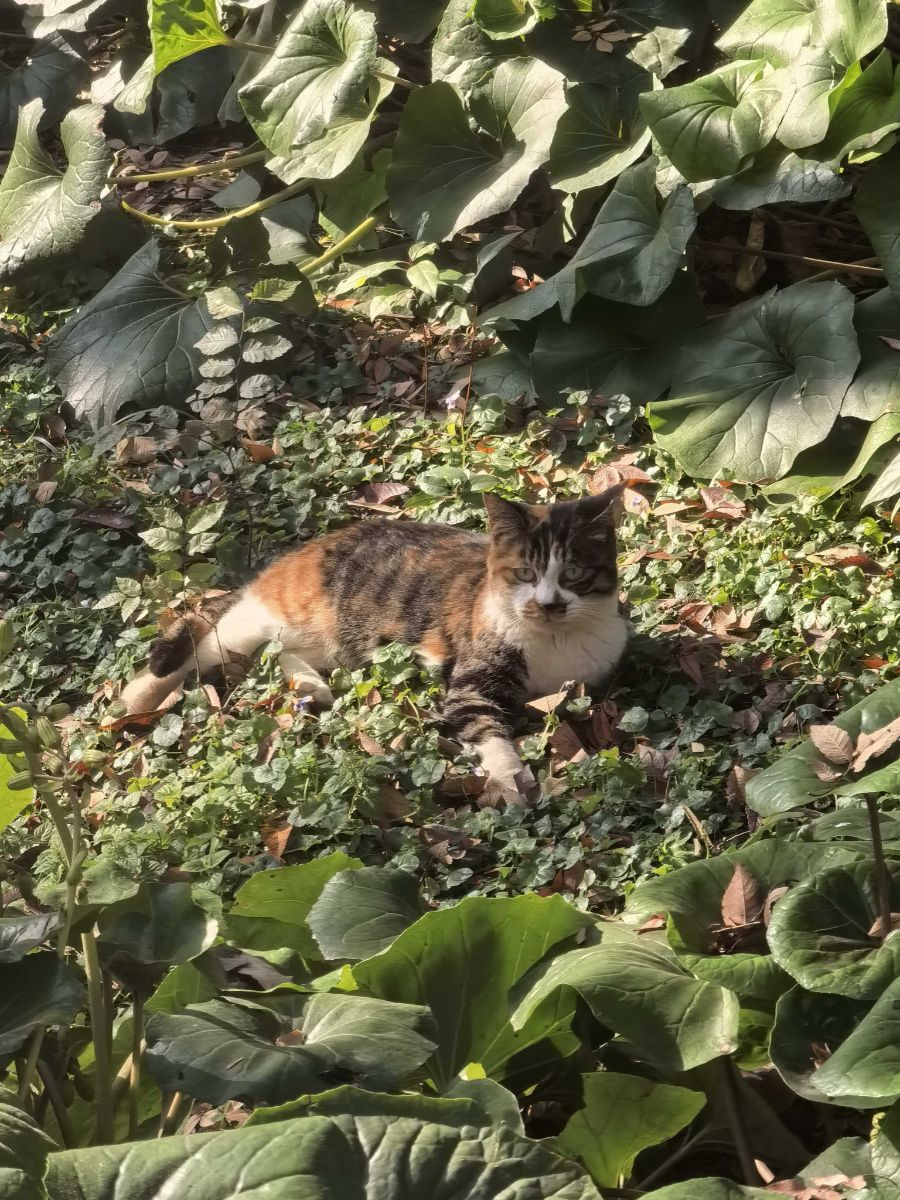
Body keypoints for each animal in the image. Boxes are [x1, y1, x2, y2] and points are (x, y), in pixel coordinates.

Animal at [119, 487, 627, 805]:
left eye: (574, 574)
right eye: (525, 573)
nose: (549, 604)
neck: (555, 641)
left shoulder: (595, 677)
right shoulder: (469, 684)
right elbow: (488, 731)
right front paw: (511, 779)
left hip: (336, 642)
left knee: (277, 653)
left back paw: (311, 686)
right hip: (266, 617)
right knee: (206, 643)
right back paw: (134, 699)